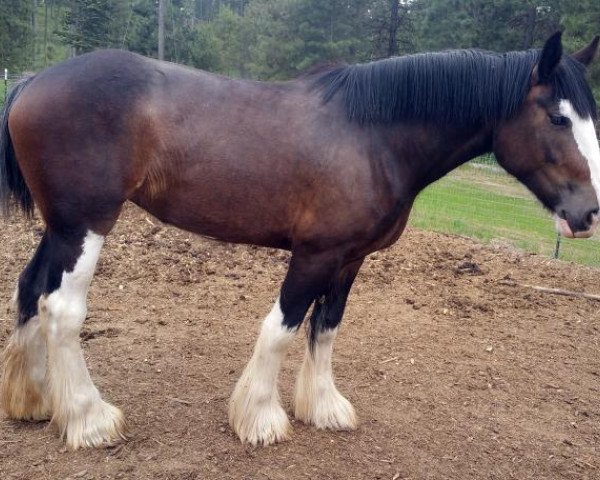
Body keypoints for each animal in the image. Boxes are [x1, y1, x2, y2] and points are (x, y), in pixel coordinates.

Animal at [0, 31, 596, 448]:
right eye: (557, 118)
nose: (587, 213)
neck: (373, 136)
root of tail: (32, 81)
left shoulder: (350, 259)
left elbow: (325, 328)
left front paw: (324, 408)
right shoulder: (316, 254)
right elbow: (282, 327)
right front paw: (261, 419)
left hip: (61, 228)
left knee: (30, 292)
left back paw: (35, 399)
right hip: (87, 226)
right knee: (63, 310)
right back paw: (89, 419)